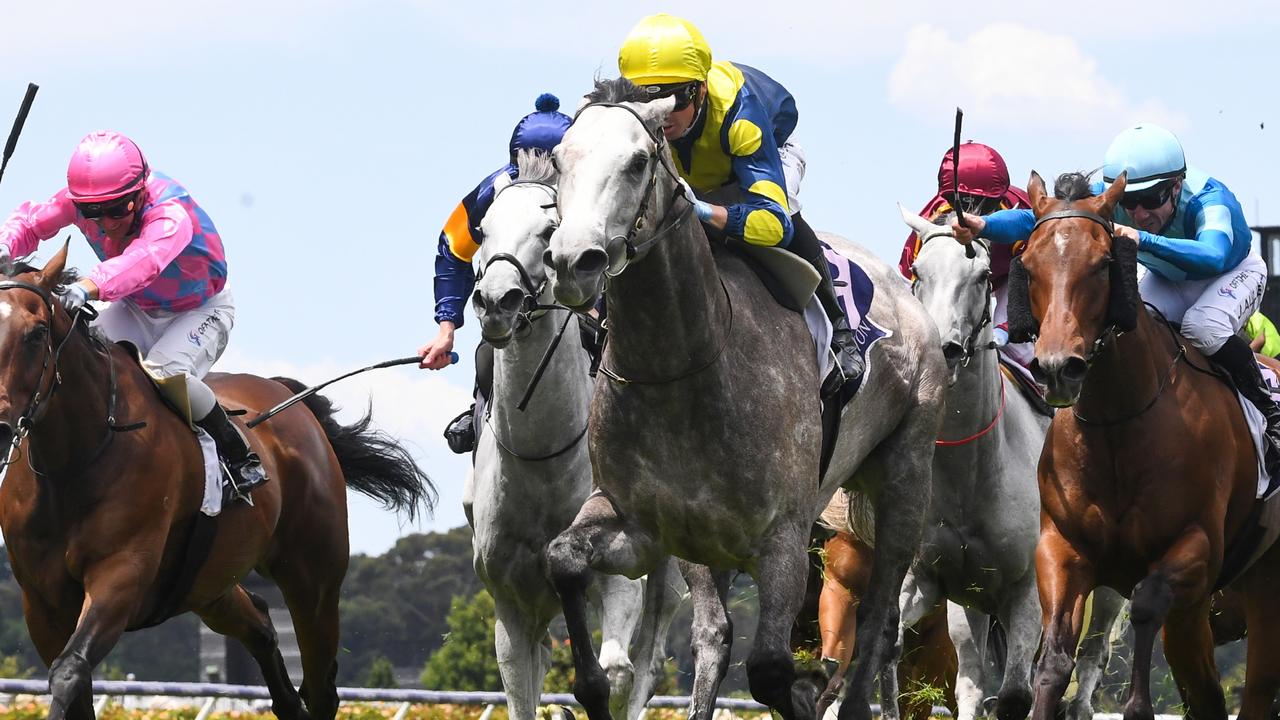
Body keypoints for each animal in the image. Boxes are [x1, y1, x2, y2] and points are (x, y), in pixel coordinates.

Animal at [0, 248, 435, 717]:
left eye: (37, 333)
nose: (2, 429)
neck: (73, 462)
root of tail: (291, 401)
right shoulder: (41, 603)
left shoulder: (122, 572)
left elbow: (69, 670)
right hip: (210, 586)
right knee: (261, 625)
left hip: (313, 577)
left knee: (321, 687)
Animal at [542, 79, 952, 720]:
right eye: (560, 161)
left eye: (637, 162)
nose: (571, 262)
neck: (681, 368)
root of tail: (905, 293)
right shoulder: (645, 527)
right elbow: (563, 560)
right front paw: (588, 690)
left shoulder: (783, 539)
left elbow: (771, 672)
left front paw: (810, 689)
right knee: (715, 633)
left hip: (905, 471)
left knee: (880, 612)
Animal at [896, 207, 1126, 717]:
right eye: (918, 272)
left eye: (983, 275)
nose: (944, 349)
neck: (972, 472)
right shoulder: (932, 580)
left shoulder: (1027, 591)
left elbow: (1017, 694)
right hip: (971, 603)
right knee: (970, 677)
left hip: (1108, 586)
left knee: (1093, 653)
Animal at [1003, 169, 1280, 717]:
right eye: (1028, 264)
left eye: (1103, 264)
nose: (1057, 368)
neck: (1118, 425)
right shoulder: (1062, 548)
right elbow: (1055, 656)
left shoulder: (1196, 547)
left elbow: (1148, 604)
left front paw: (1135, 703)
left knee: (1256, 688)